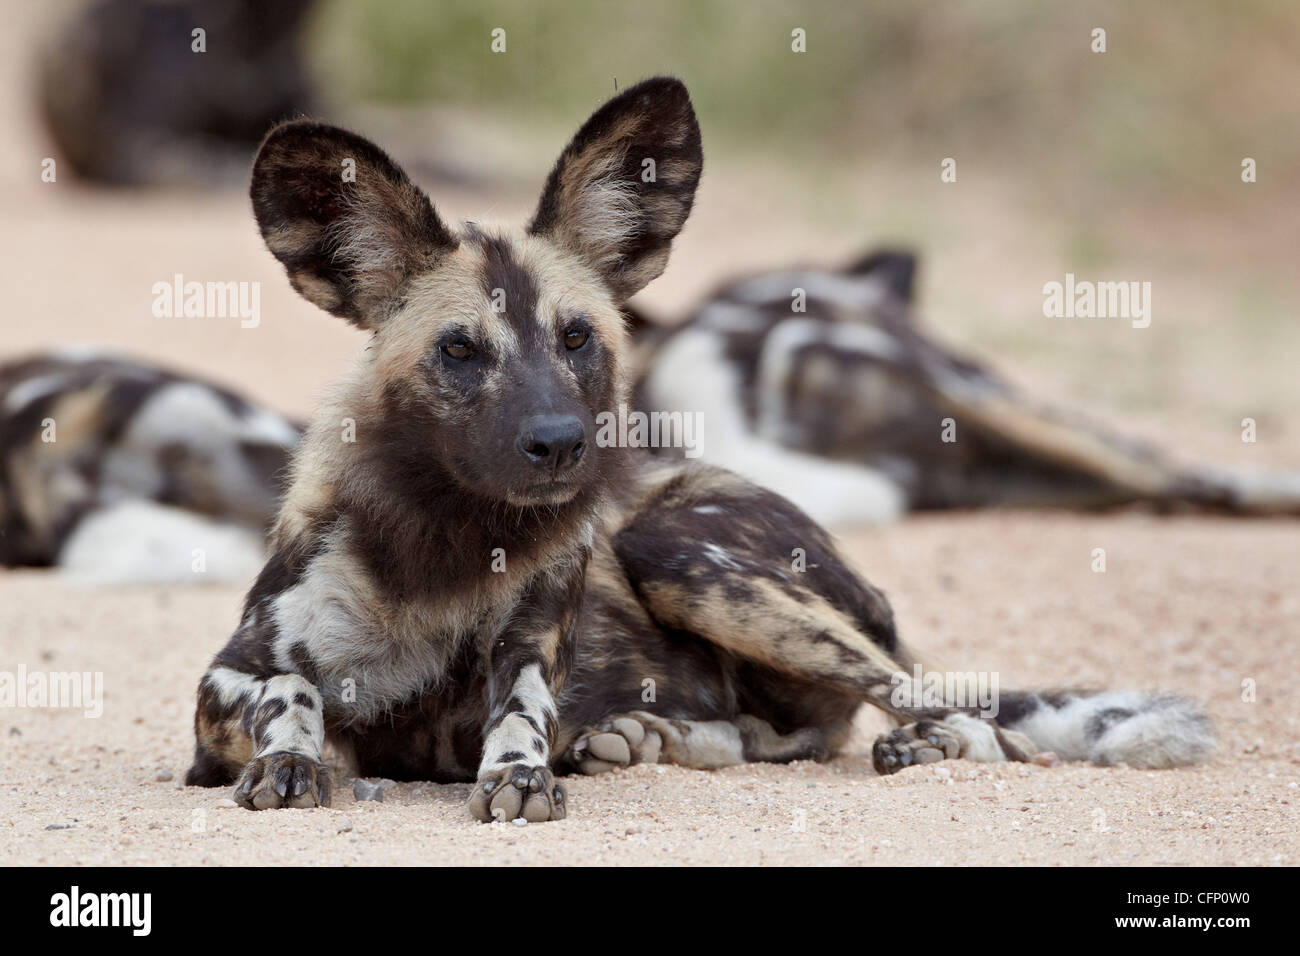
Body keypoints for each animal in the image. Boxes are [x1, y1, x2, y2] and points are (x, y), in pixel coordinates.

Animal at [185, 76, 1216, 822]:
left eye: (577, 338)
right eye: (459, 350)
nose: (560, 444)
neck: (443, 546)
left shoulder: (526, 657)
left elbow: (517, 719)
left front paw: (520, 775)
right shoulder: (223, 686)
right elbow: (296, 693)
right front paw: (298, 761)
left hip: (684, 557)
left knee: (961, 717)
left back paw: (917, 745)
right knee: (785, 732)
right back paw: (647, 738)